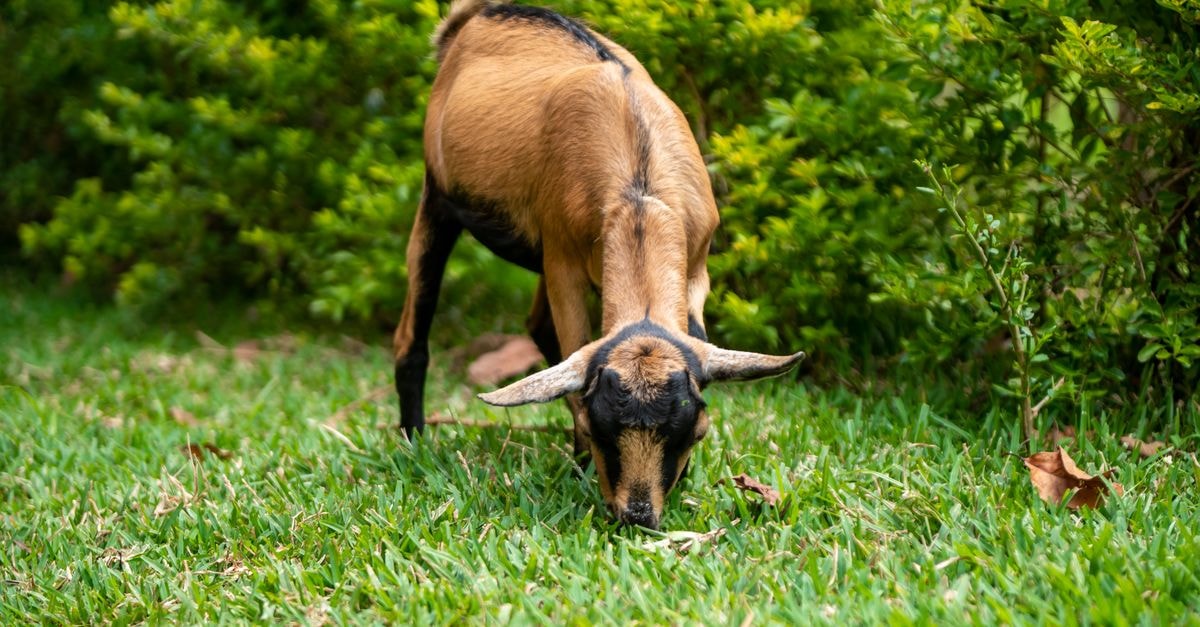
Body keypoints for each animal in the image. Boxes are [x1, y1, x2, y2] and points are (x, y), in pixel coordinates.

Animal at [393, 0, 805, 529]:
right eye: (596, 427)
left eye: (695, 431)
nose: (636, 515)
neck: (638, 181)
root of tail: (476, 14)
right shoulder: (563, 260)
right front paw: (580, 462)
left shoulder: (696, 265)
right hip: (438, 198)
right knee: (412, 334)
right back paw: (413, 441)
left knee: (535, 325)